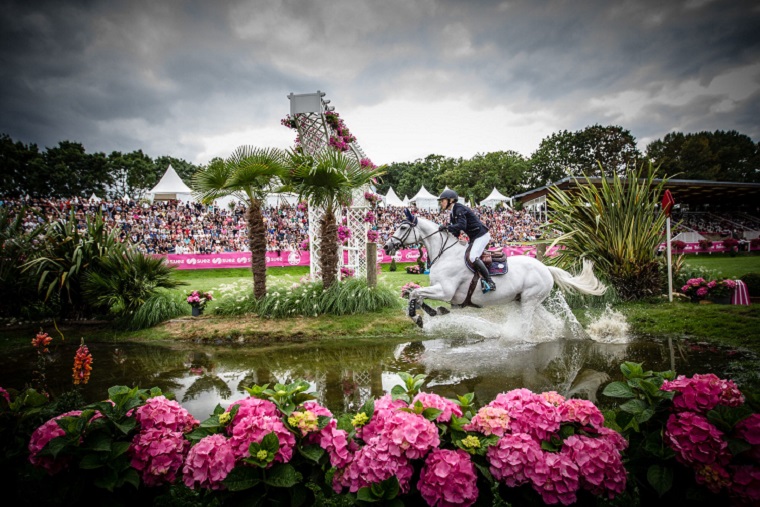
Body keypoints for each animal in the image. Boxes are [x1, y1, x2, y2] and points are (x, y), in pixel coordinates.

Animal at [382, 212, 608, 336]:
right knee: (551, 322)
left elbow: (414, 293)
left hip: (529, 301)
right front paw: (432, 312)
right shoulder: (441, 291)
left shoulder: (445, 291)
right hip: (527, 301)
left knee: (526, 327)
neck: (444, 254)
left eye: (403, 227)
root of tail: (546, 268)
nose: (386, 246)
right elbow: (416, 294)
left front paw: (418, 317)